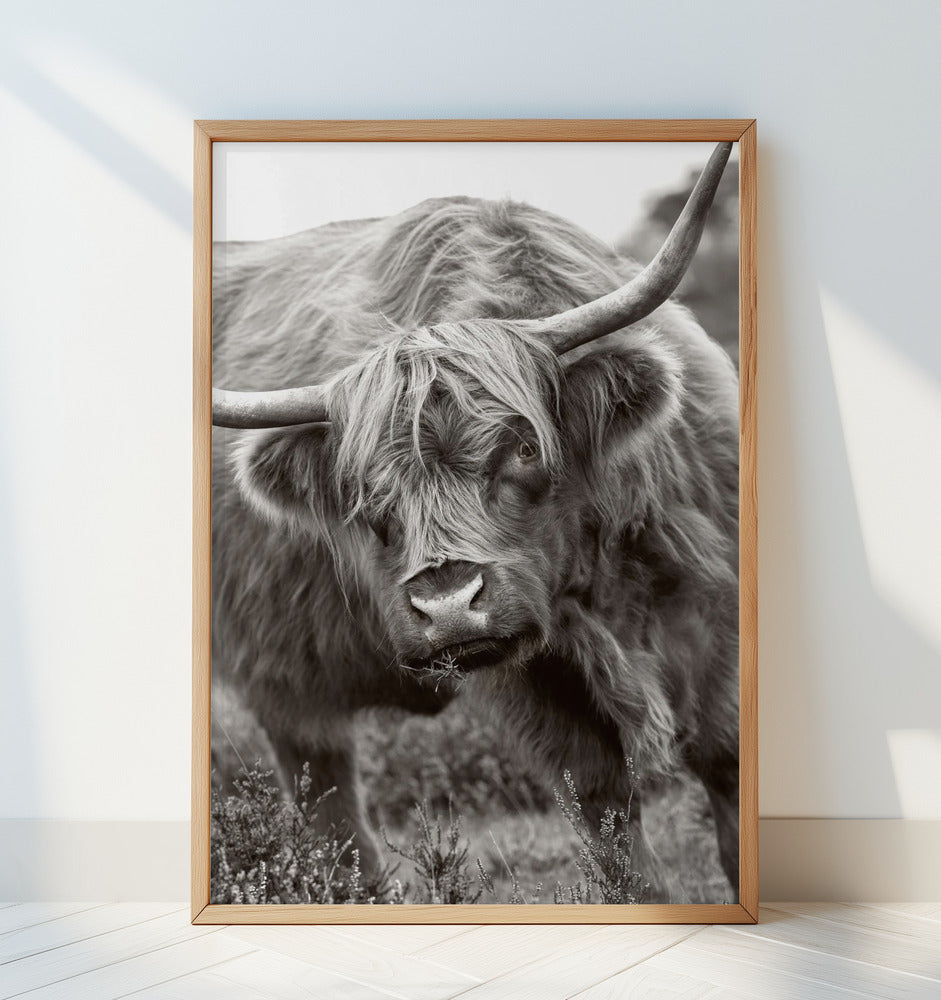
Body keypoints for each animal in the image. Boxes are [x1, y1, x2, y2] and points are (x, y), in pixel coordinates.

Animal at [211, 142, 740, 901]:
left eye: (522, 448)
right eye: (364, 490)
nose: (448, 605)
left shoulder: (715, 613)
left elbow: (728, 768)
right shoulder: (540, 687)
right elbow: (608, 820)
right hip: (282, 679)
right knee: (330, 810)